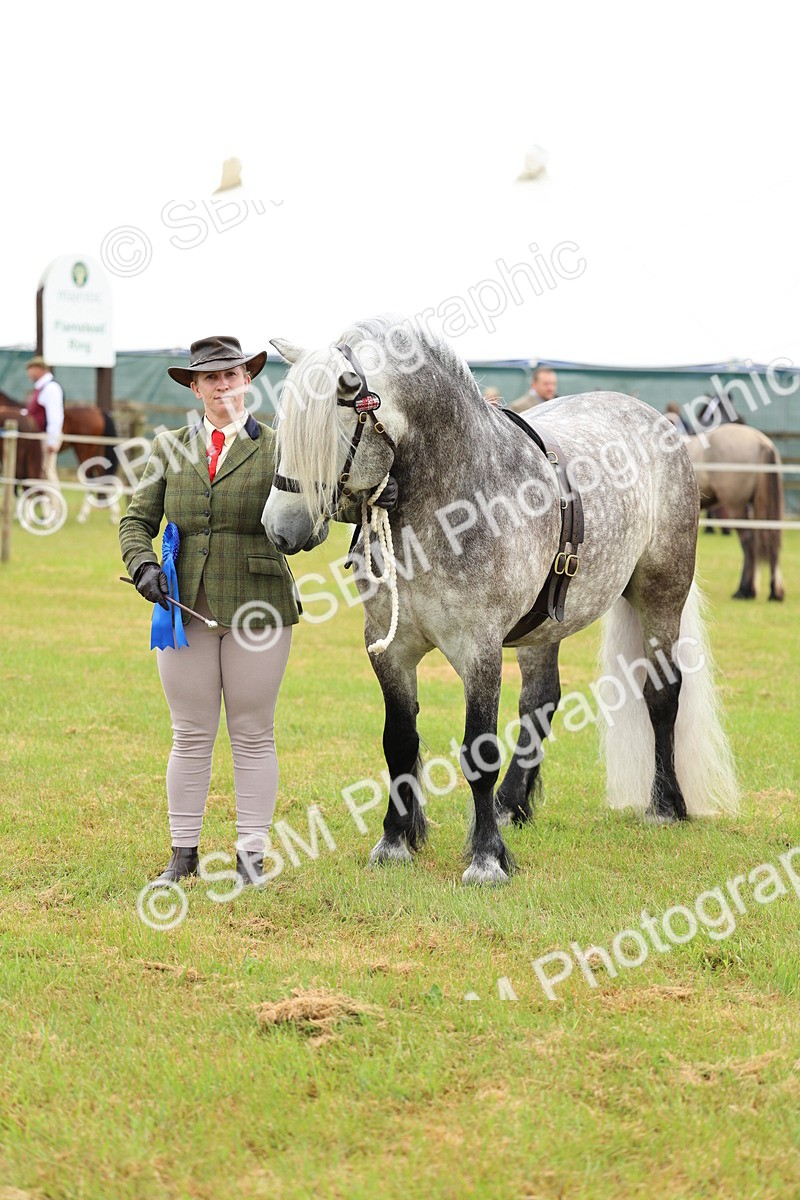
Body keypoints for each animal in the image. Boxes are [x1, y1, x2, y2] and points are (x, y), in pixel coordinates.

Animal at [262, 317, 739, 885]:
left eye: (329, 425)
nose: (280, 528)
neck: (452, 502)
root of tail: (653, 420)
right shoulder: (390, 649)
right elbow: (399, 742)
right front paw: (395, 842)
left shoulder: (480, 650)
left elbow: (478, 752)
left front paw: (487, 858)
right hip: (543, 628)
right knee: (541, 702)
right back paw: (512, 804)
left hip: (661, 595)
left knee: (663, 694)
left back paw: (665, 806)